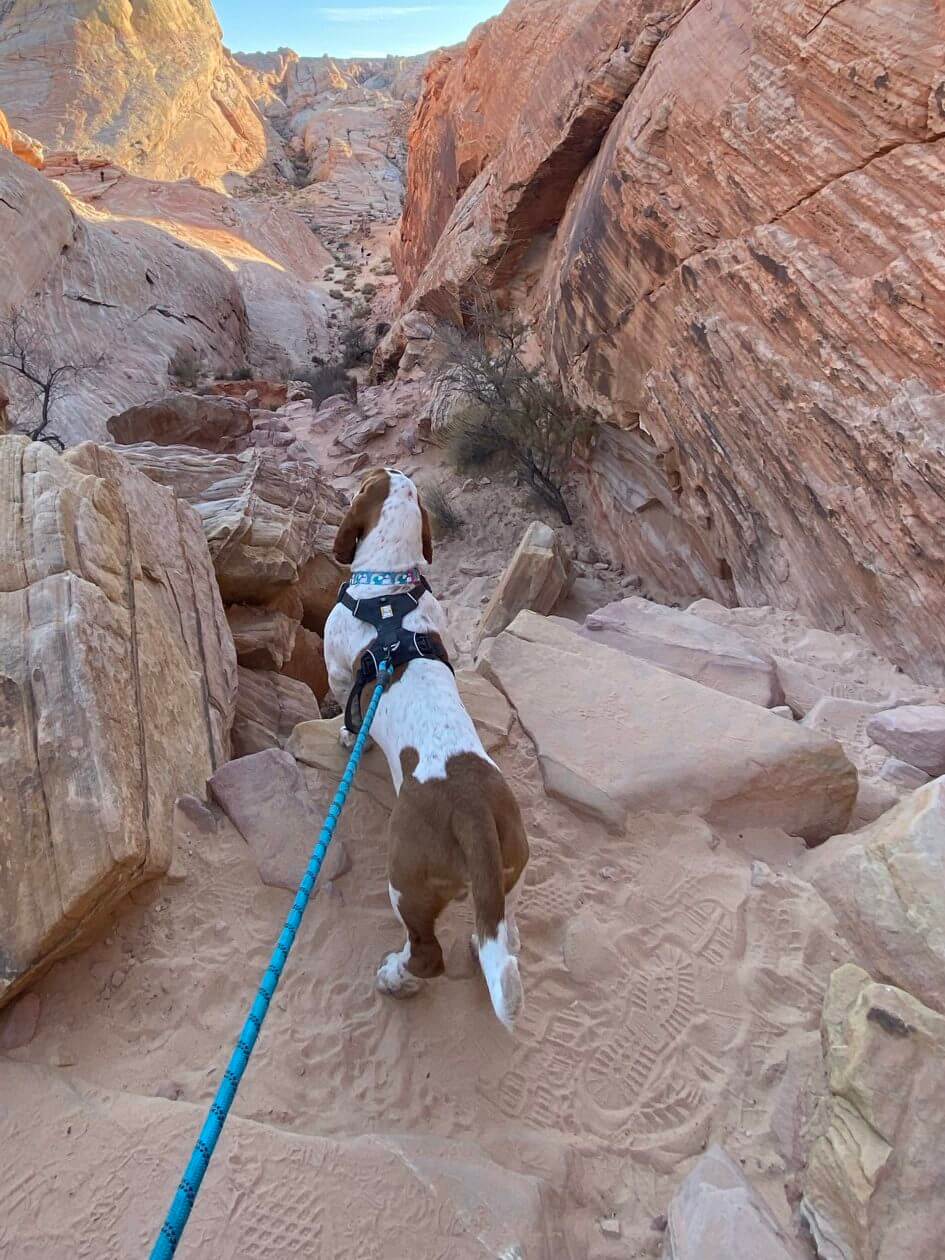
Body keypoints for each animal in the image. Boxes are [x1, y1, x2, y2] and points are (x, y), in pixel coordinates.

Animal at [325, 468, 534, 1028]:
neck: (389, 587)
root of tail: (473, 816)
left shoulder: (337, 672)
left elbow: (347, 707)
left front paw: (349, 736)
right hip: (508, 873)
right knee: (500, 934)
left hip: (406, 883)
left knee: (427, 956)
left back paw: (396, 978)